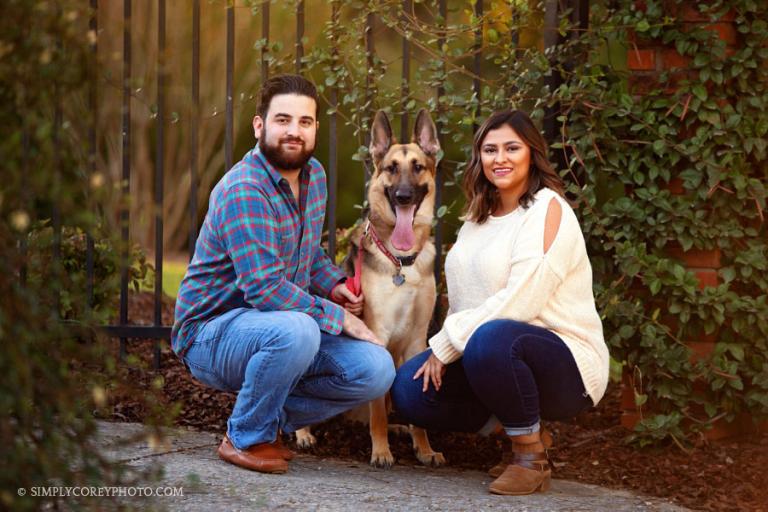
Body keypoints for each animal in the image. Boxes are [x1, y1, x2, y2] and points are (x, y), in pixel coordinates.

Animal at [296, 108, 448, 468]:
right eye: (391, 168)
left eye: (417, 167)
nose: (404, 196)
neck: (402, 263)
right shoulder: (377, 333)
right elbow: (378, 407)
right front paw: (381, 451)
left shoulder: (418, 340)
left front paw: (424, 448)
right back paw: (302, 433)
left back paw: (398, 429)